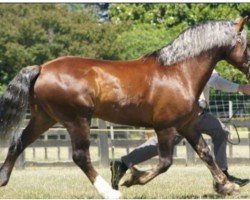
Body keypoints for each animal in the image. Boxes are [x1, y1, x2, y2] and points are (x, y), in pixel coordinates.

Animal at [0, 16, 249, 198]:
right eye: (246, 44)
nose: (249, 72)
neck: (178, 72)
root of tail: (41, 68)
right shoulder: (165, 127)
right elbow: (165, 163)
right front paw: (133, 178)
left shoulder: (186, 125)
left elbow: (205, 154)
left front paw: (227, 186)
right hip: (77, 120)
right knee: (80, 156)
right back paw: (110, 192)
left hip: (44, 118)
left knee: (18, 143)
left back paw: (3, 179)